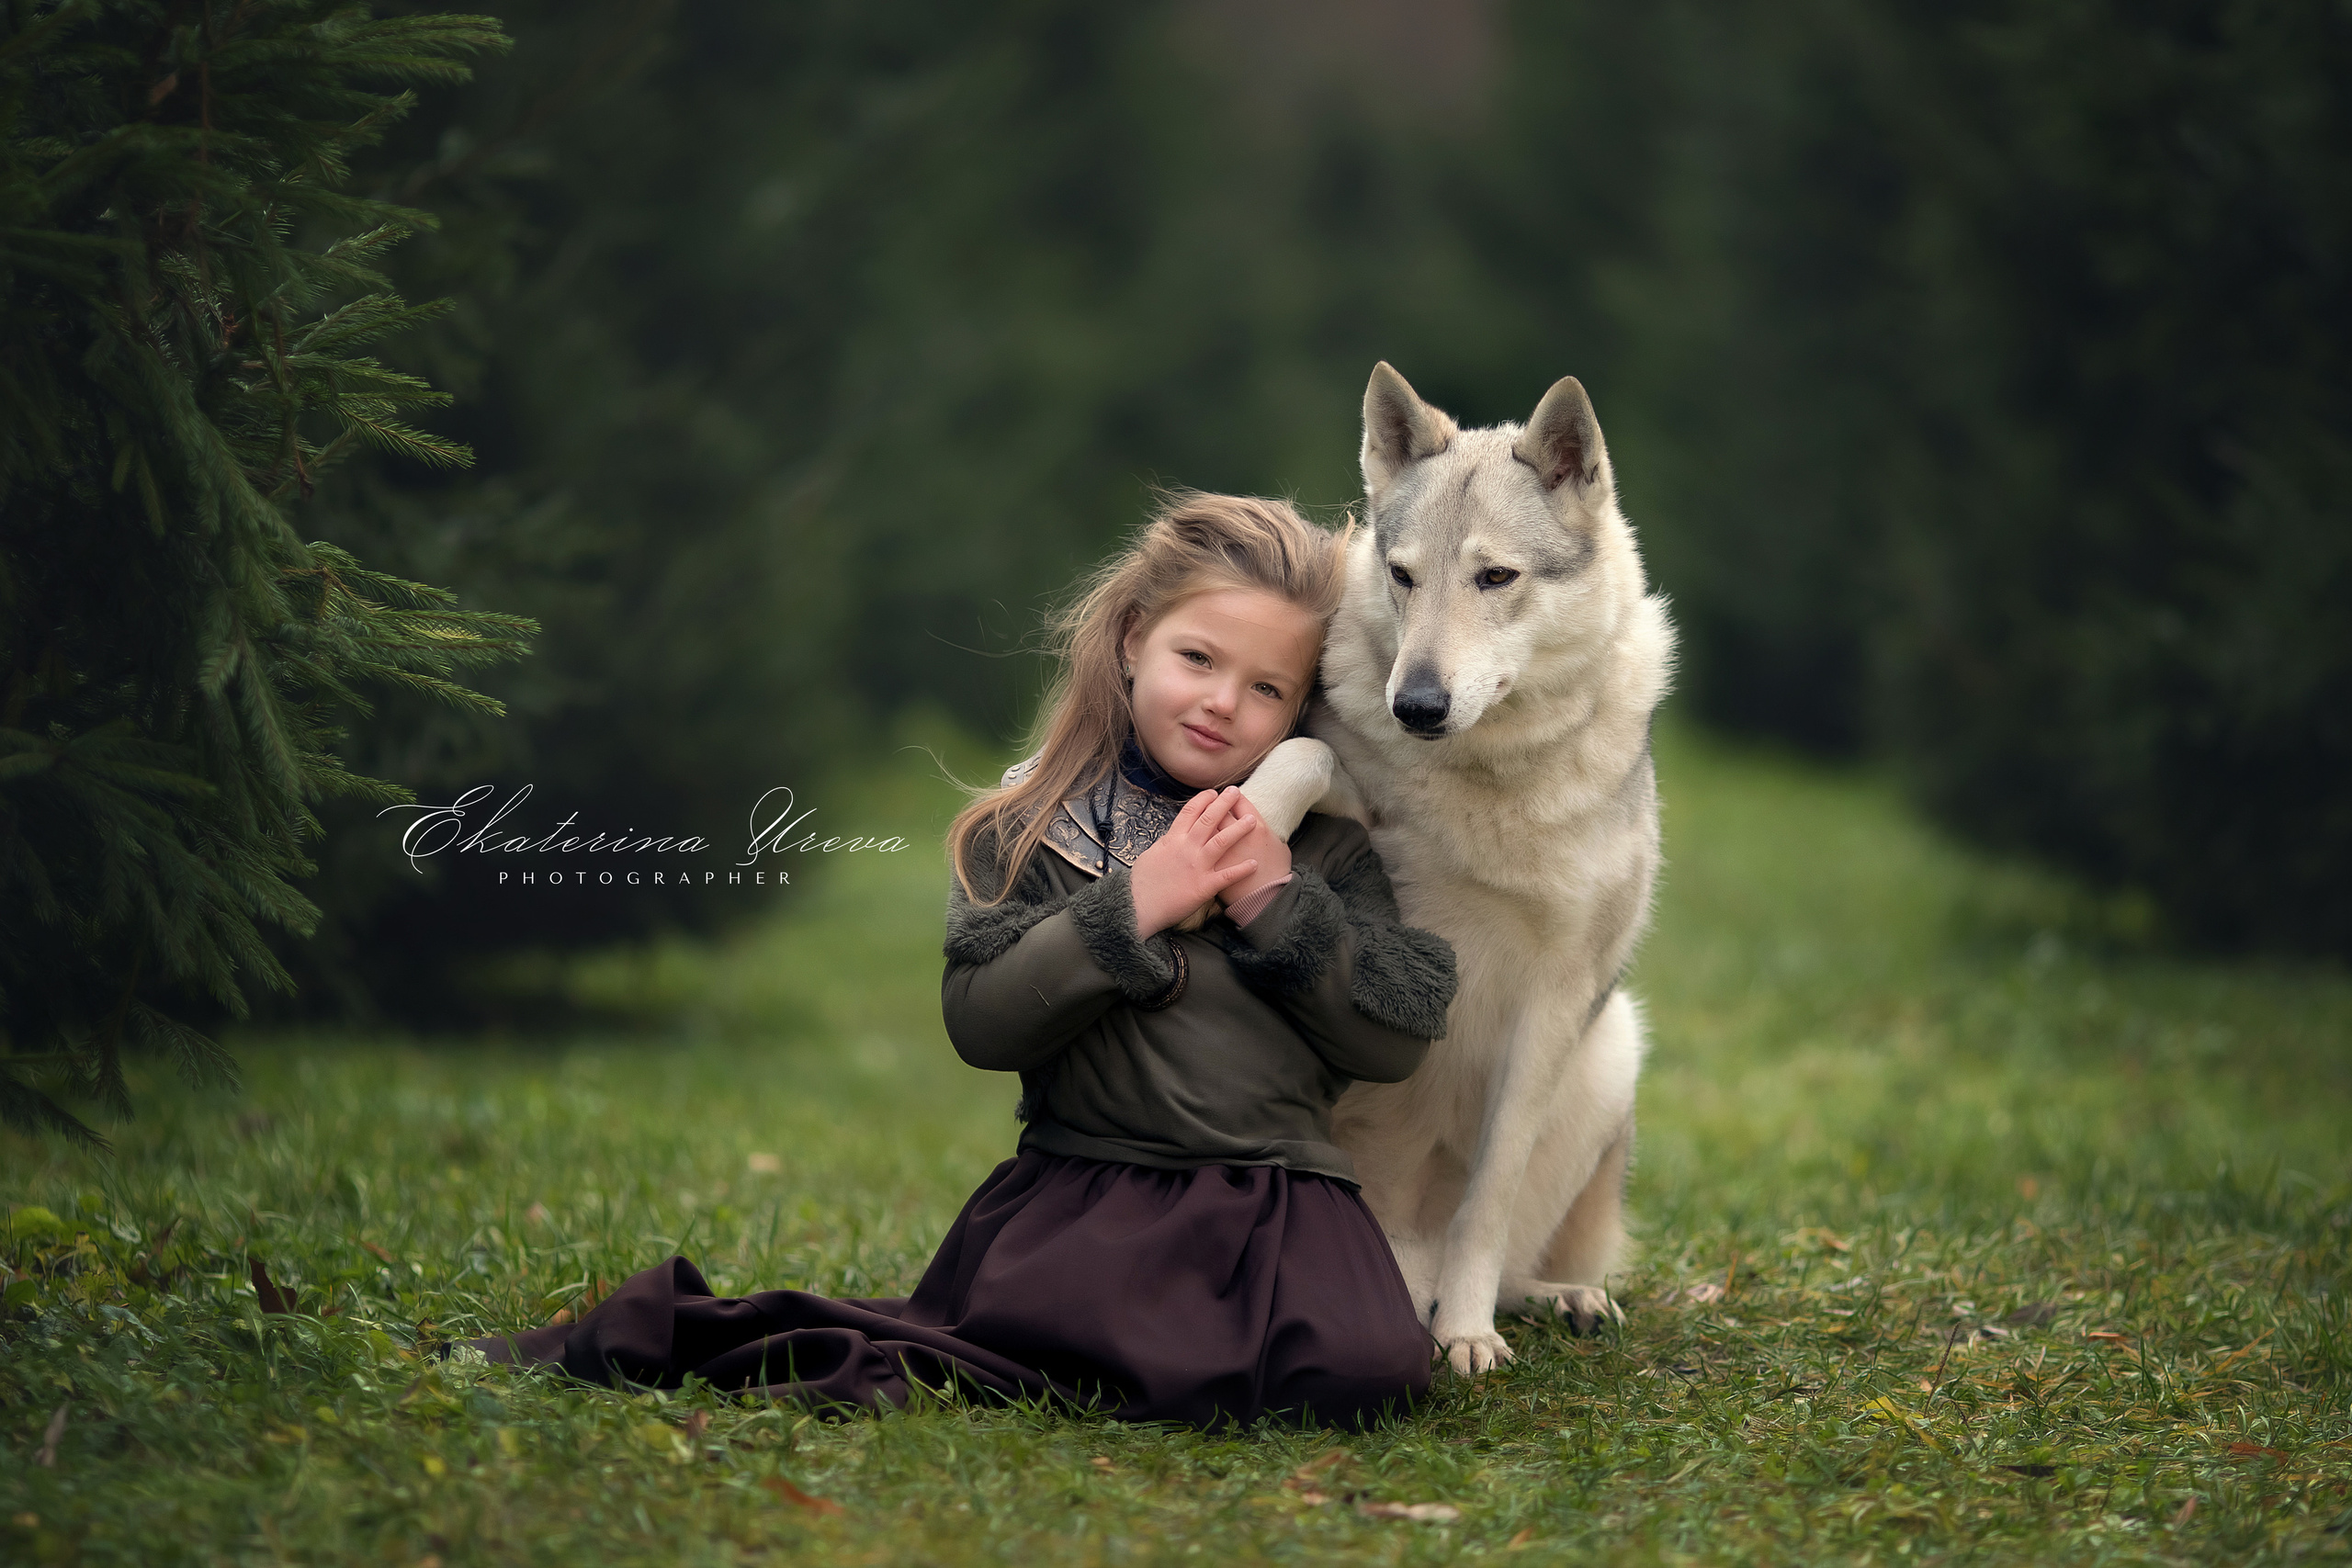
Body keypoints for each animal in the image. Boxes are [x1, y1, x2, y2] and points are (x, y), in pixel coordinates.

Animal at [1241, 362, 1674, 1376]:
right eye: (1404, 577)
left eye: (1494, 576)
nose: (1417, 705)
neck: (1486, 777)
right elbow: (1305, 757)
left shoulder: (1554, 1002)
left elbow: (1487, 1200)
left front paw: (1465, 1335)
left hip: (1611, 1047)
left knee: (1513, 1256)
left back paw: (1555, 1300)